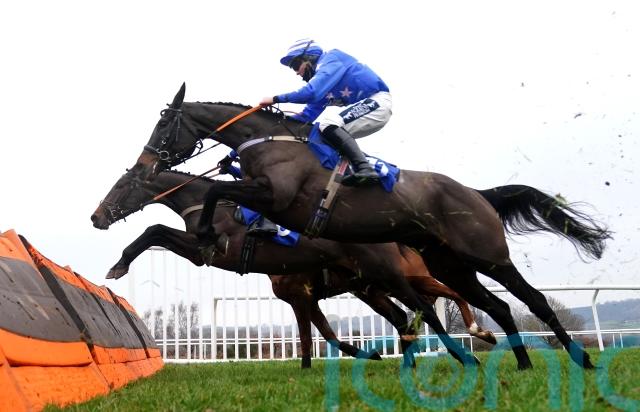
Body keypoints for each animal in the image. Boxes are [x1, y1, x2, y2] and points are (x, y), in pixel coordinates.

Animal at [91, 169, 496, 368]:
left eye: (122, 186)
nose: (97, 216)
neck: (211, 205)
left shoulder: (211, 250)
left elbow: (153, 230)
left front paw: (118, 265)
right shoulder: (302, 298)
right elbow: (323, 335)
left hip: (391, 277)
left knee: (427, 306)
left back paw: (471, 347)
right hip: (373, 285)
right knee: (406, 315)